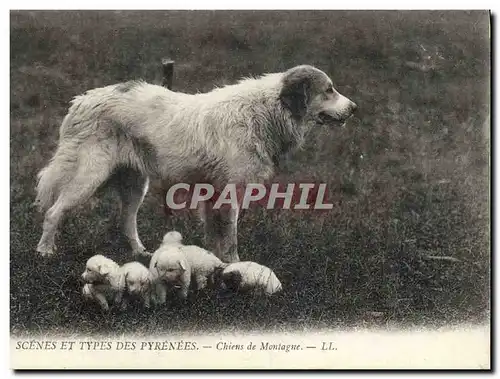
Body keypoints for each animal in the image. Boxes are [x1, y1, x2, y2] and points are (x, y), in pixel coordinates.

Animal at [35, 65, 356, 262]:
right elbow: (229, 238)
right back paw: (45, 251)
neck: (265, 111)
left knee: (126, 221)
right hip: (88, 177)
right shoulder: (228, 194)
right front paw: (234, 266)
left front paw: (218, 265)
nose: (354, 108)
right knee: (53, 212)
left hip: (135, 185)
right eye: (328, 90)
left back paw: (141, 253)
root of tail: (82, 100)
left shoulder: (213, 195)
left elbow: (216, 236)